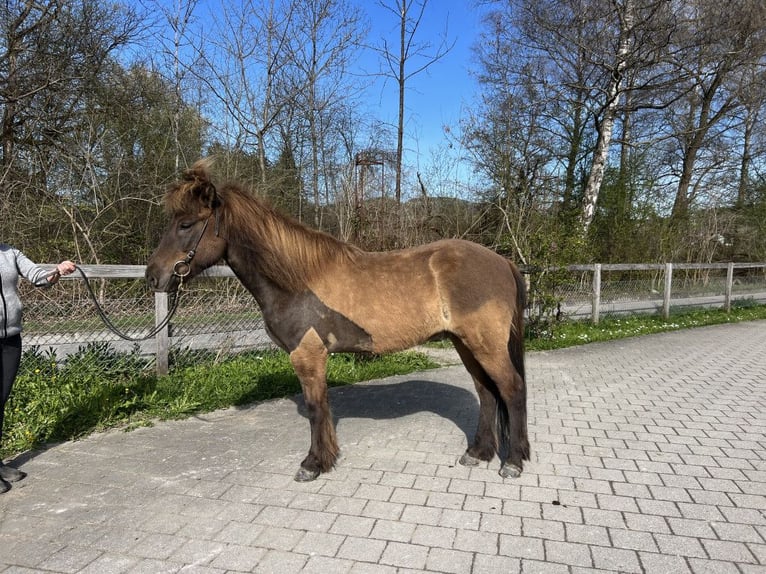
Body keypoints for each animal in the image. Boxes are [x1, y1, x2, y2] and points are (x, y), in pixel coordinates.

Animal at [146, 159, 529, 482]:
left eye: (186, 224)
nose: (153, 276)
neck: (297, 279)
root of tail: (502, 262)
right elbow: (323, 408)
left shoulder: (307, 355)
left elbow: (317, 408)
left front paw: (313, 464)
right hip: (465, 342)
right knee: (486, 391)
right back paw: (478, 453)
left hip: (484, 344)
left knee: (511, 389)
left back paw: (512, 462)